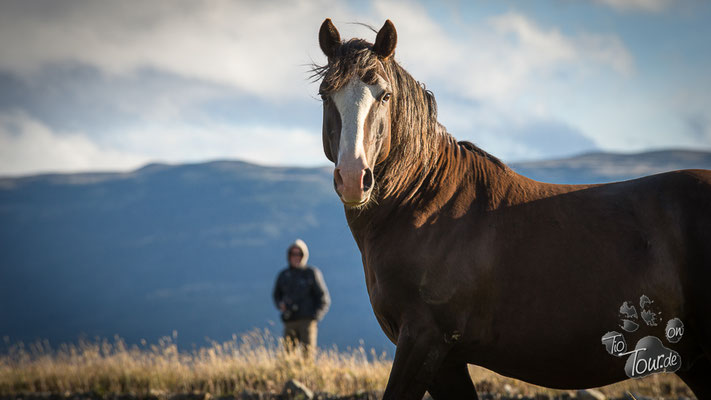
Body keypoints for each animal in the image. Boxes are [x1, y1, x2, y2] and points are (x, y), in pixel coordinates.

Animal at [318, 18, 711, 400]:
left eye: (384, 95)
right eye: (325, 94)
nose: (353, 178)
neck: (426, 208)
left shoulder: (423, 340)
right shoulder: (447, 359)